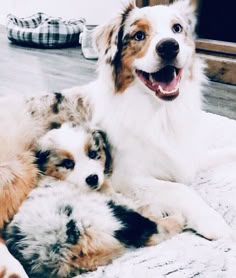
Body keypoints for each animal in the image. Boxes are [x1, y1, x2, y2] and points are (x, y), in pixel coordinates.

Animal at [4, 124, 184, 278]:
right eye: (68, 163)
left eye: (92, 154)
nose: (92, 178)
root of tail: (60, 251)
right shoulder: (113, 200)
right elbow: (135, 203)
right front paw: (156, 210)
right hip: (113, 217)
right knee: (155, 231)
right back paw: (177, 219)